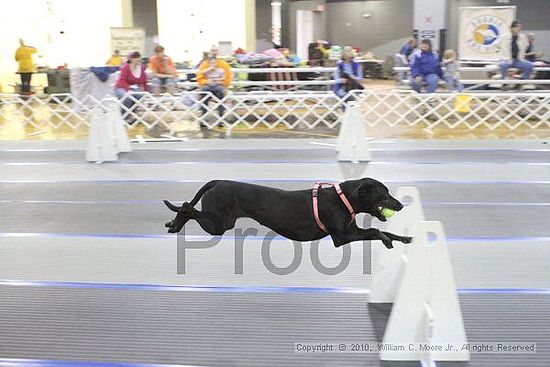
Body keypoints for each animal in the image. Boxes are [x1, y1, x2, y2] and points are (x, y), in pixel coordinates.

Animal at [164, 179, 414, 249]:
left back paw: (173, 223)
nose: (401, 205)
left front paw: (404, 238)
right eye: (384, 194)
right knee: (186, 206)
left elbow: (384, 231)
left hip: (220, 222)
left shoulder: (351, 230)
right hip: (218, 223)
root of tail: (217, 182)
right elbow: (375, 230)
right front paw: (385, 240)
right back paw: (175, 223)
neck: (344, 199)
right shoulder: (342, 237)